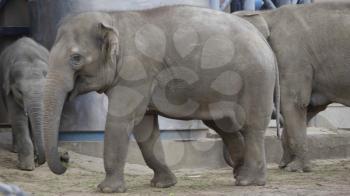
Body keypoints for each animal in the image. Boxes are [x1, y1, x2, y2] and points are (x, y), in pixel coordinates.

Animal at [0, 36, 47, 170]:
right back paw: (15, 150)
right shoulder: (9, 89)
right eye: (20, 91)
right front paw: (27, 167)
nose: (38, 161)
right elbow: (18, 118)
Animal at [43, 5, 278, 193]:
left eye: (76, 58)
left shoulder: (136, 72)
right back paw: (239, 173)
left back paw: (249, 181)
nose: (65, 156)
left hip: (256, 80)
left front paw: (106, 190)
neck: (113, 18)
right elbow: (145, 129)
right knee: (224, 125)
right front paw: (163, 184)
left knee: (251, 127)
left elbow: (121, 120)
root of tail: (262, 38)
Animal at [232, 2, 350, 172]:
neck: (267, 14)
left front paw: (295, 168)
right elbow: (306, 108)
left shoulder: (292, 57)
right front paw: (284, 164)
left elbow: (293, 102)